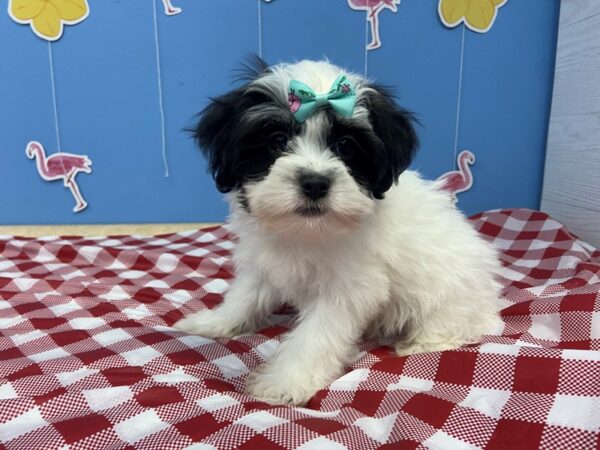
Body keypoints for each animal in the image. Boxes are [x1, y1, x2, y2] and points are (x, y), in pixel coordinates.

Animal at [176, 58, 504, 406]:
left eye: (345, 145)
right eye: (277, 140)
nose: (315, 183)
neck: (306, 231)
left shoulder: (349, 287)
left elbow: (316, 334)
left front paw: (285, 381)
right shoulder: (265, 261)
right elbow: (246, 295)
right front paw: (214, 322)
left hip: (451, 295)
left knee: (453, 324)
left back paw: (420, 343)